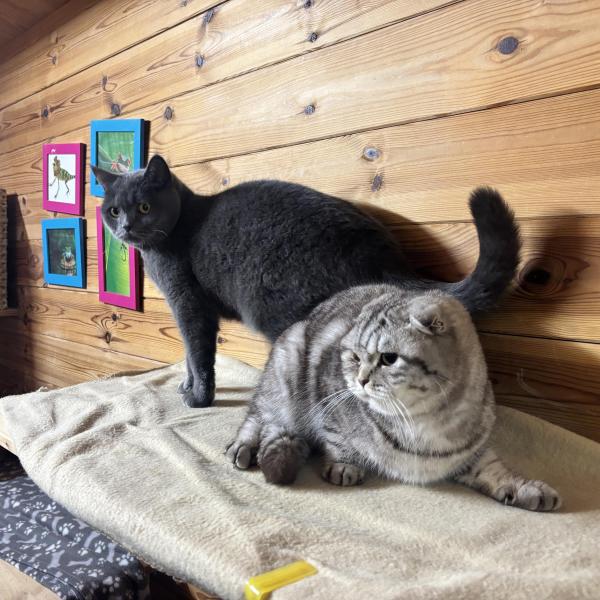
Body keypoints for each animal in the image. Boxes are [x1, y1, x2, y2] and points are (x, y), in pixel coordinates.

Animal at [92, 154, 519, 409]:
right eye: (113, 210)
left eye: (144, 206)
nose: (126, 227)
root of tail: (380, 252)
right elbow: (187, 355)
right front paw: (186, 386)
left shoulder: (189, 305)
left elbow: (197, 354)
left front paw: (198, 397)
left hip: (277, 306)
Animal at [226, 284, 561, 512]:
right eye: (355, 357)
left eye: (388, 358)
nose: (361, 380)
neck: (428, 421)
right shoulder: (328, 399)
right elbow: (338, 439)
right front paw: (344, 464)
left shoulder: (472, 454)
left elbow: (497, 472)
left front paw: (528, 490)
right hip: (285, 372)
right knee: (261, 416)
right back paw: (243, 446)